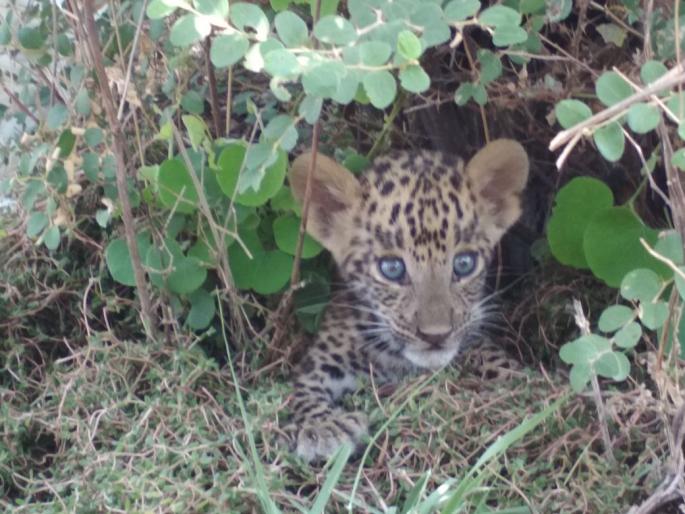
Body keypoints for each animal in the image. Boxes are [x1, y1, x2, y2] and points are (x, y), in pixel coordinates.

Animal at [285, 139, 529, 462]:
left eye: (464, 263)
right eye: (392, 268)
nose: (435, 336)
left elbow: (506, 369)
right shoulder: (324, 358)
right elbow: (304, 389)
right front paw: (323, 427)